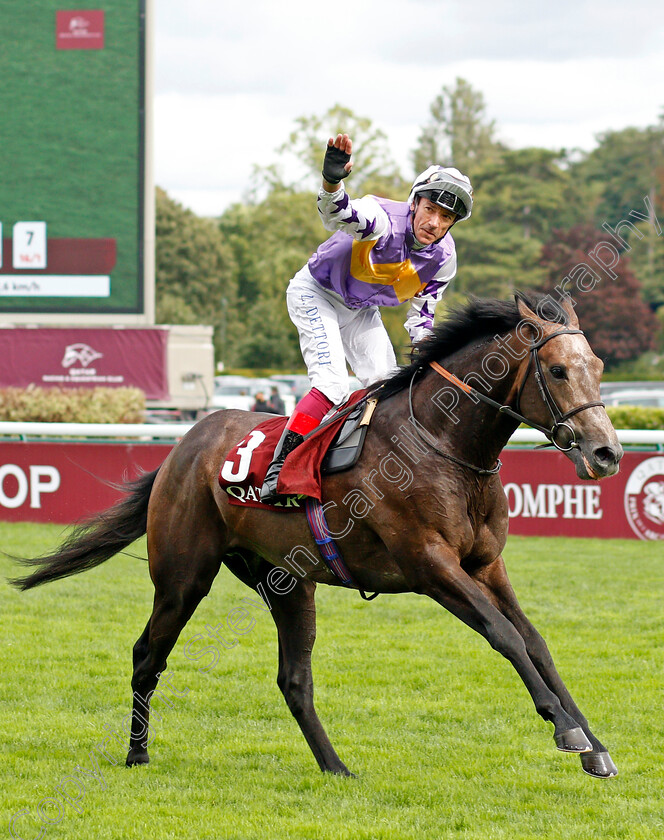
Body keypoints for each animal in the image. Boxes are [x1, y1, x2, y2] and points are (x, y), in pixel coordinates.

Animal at [10, 296, 624, 780]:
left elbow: (536, 642)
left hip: (287, 582)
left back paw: (335, 766)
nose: (607, 453)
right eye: (558, 370)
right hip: (184, 576)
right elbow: (505, 635)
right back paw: (137, 754)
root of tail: (186, 442)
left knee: (294, 679)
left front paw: (593, 744)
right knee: (147, 654)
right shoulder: (430, 565)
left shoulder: (486, 565)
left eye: (596, 365)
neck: (443, 445)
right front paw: (565, 729)